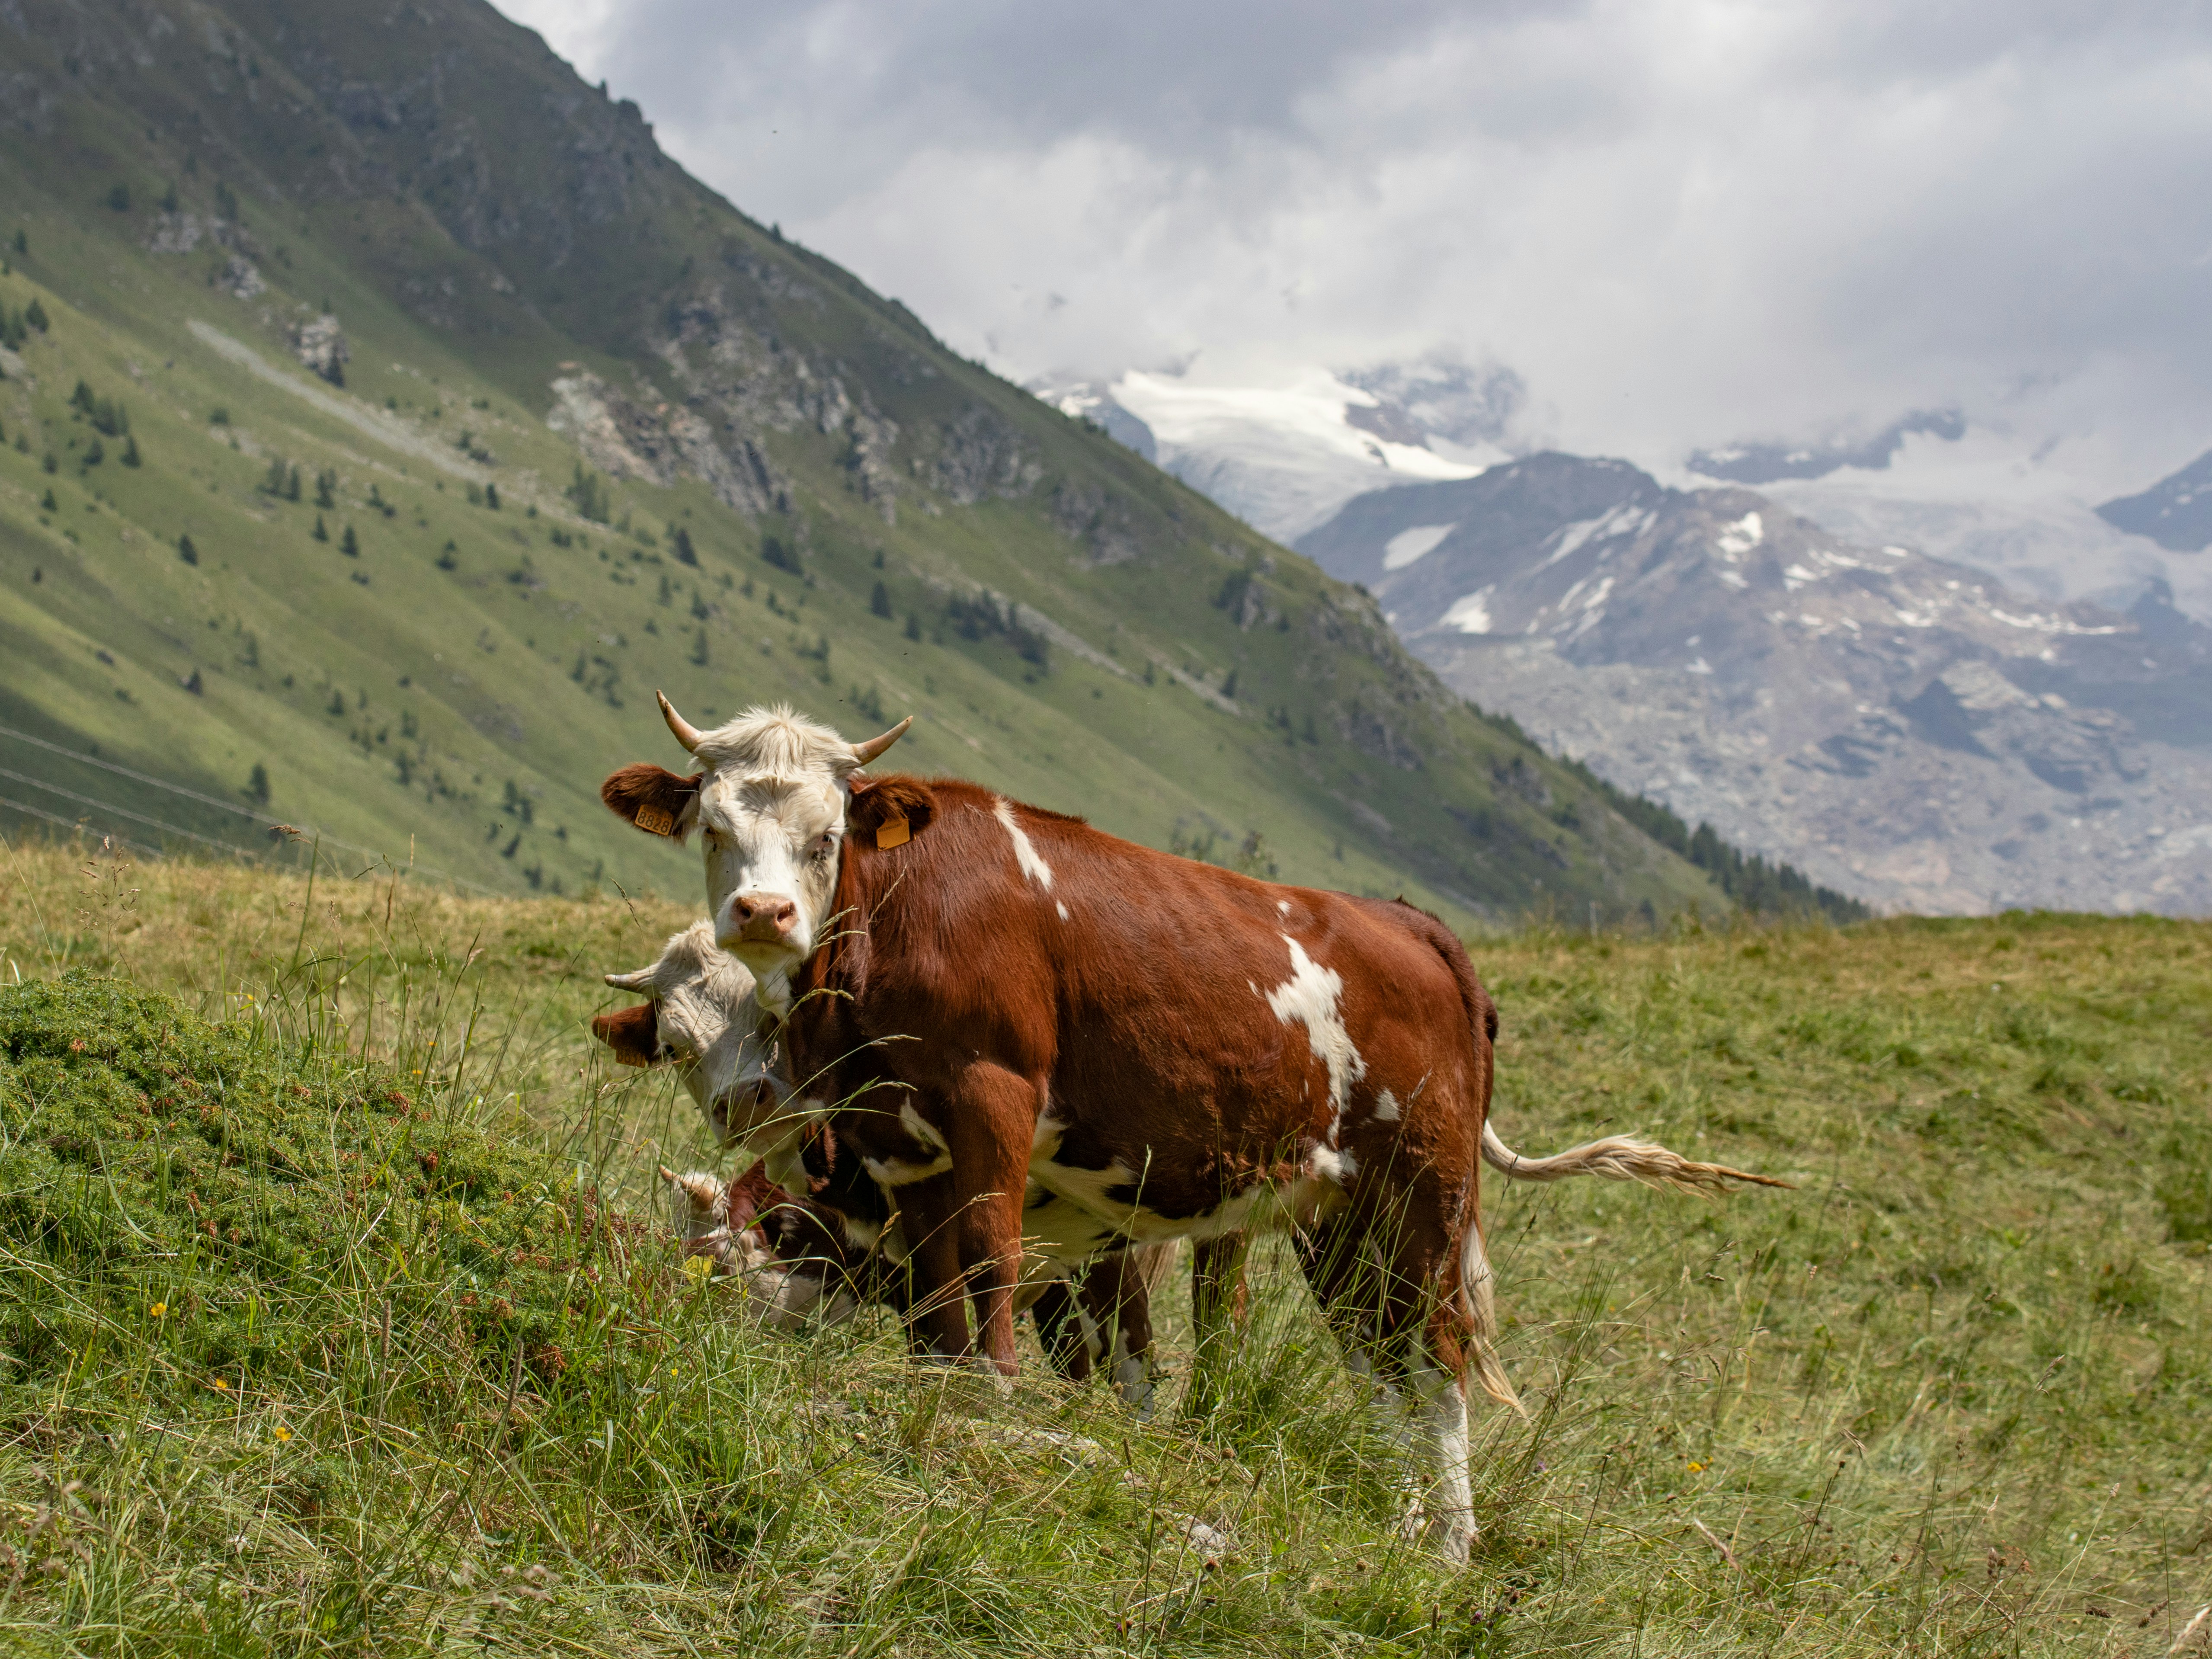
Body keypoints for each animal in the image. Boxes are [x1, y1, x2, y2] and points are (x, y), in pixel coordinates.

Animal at [602, 698, 1788, 1562]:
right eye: (716, 829)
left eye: (827, 835)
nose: (763, 914)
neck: (894, 929)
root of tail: (1411, 925)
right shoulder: (902, 1145)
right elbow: (942, 1296)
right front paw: (937, 1396)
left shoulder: (996, 1104)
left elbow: (995, 1267)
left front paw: (991, 1406)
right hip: (1335, 1220)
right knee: (1377, 1362)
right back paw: (1401, 1532)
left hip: (1422, 1191)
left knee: (1436, 1359)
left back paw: (1451, 1551)